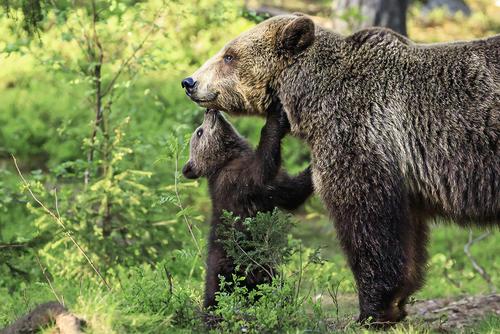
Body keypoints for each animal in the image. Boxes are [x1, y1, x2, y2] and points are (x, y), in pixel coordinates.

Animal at [182, 14, 498, 324]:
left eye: (229, 55)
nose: (189, 81)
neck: (310, 96)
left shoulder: (359, 130)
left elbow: (366, 218)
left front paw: (373, 309)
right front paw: (397, 302)